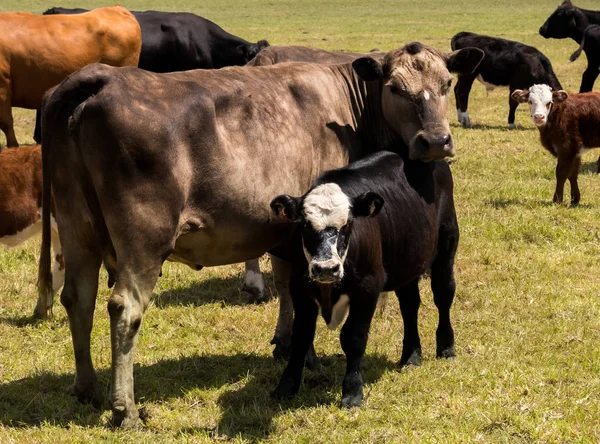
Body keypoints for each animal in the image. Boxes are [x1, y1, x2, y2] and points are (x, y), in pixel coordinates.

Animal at [270, 151, 458, 408]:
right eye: (305, 225)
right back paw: (411, 355)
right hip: (406, 264)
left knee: (443, 295)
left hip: (446, 247)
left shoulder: (368, 288)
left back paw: (447, 348)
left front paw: (352, 392)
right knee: (409, 306)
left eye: (348, 224)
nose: (326, 268)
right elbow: (300, 338)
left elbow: (353, 337)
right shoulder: (300, 290)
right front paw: (285, 388)